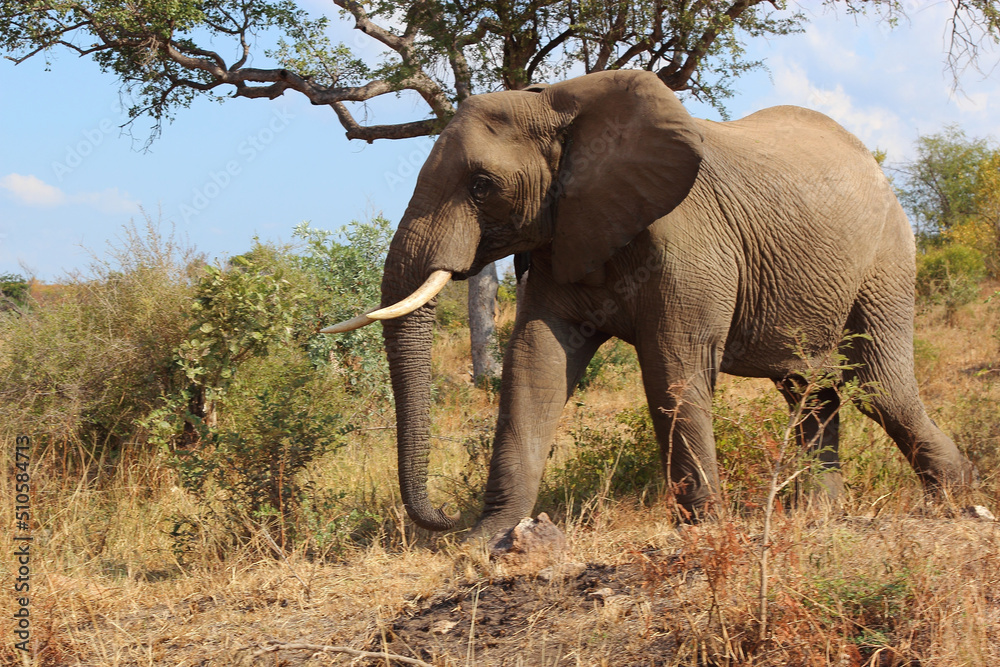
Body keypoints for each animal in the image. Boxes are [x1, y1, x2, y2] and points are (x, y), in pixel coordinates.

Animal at [325, 69, 977, 538]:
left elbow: (674, 366)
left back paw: (957, 501)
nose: (444, 519)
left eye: (482, 186)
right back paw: (821, 518)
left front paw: (702, 527)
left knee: (877, 384)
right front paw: (489, 539)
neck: (559, 104)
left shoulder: (687, 238)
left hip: (887, 257)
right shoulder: (566, 232)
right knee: (813, 391)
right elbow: (536, 365)